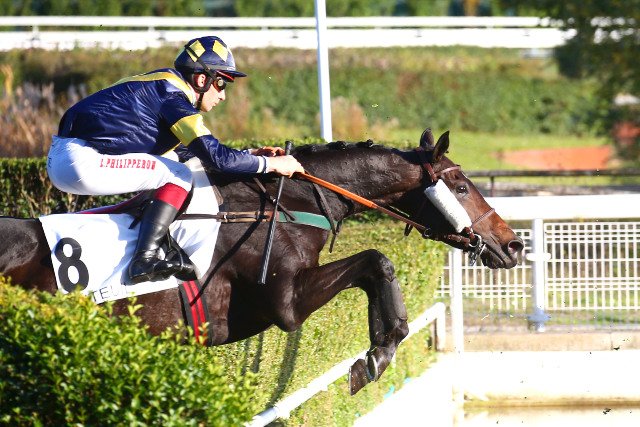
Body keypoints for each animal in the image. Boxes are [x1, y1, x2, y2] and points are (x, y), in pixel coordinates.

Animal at [0, 128, 523, 394]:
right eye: (461, 186)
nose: (513, 245)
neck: (285, 201)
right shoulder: (285, 302)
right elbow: (377, 261)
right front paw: (376, 355)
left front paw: (381, 345)